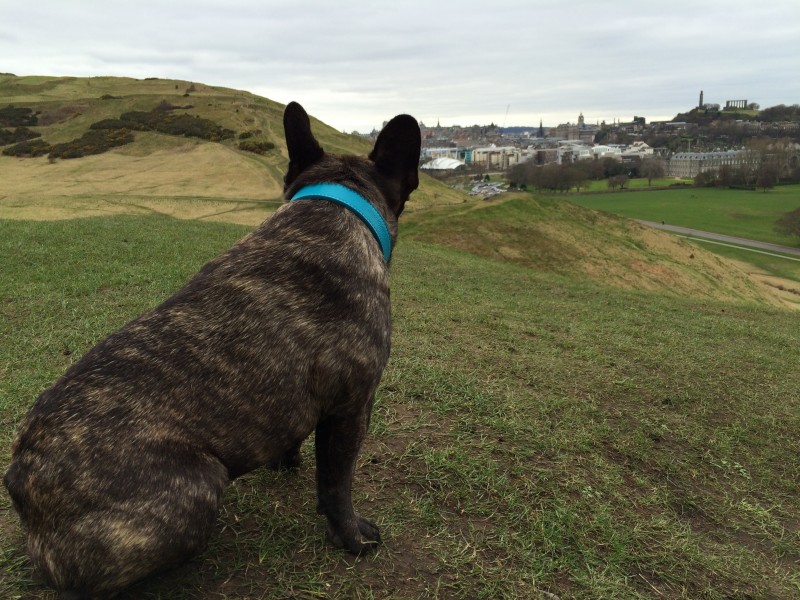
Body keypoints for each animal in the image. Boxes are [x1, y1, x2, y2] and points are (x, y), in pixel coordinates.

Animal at [3, 101, 422, 596]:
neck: (331, 206)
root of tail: (21, 481)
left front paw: (288, 460)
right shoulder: (353, 405)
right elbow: (338, 481)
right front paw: (352, 536)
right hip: (199, 486)